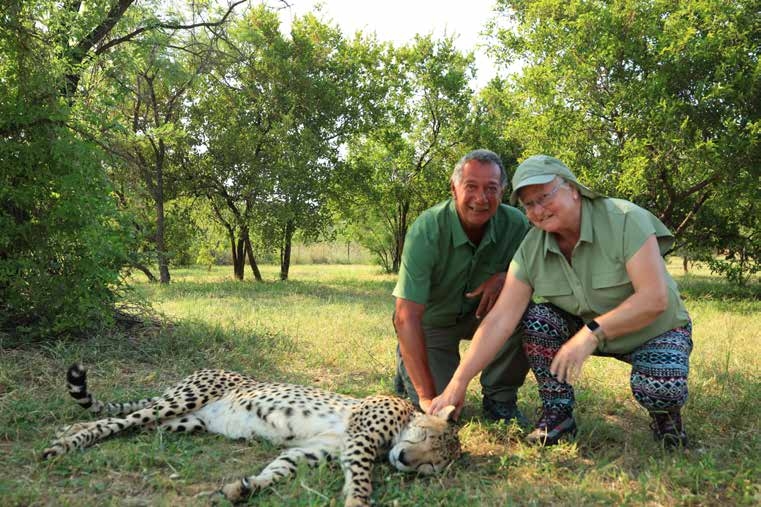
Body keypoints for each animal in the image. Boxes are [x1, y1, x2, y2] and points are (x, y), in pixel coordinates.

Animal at [42, 364, 461, 506]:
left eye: (431, 468)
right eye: (425, 436)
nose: (405, 460)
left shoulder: (312, 451)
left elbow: (279, 470)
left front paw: (242, 488)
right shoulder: (359, 436)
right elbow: (361, 477)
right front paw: (357, 501)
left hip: (186, 421)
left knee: (128, 422)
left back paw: (66, 431)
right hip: (181, 401)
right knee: (112, 422)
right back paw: (64, 443)